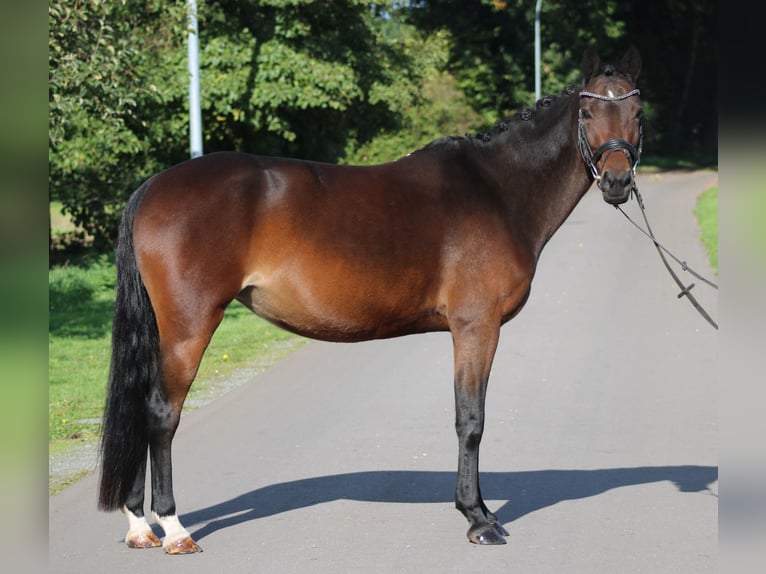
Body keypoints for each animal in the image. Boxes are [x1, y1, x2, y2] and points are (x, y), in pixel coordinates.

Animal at [98, 47, 644, 553]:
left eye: (637, 113)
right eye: (588, 113)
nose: (618, 182)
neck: (497, 190)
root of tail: (151, 188)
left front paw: (484, 510)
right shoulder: (477, 326)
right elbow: (471, 419)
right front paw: (478, 518)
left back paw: (139, 525)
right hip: (189, 327)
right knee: (161, 414)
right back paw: (173, 529)